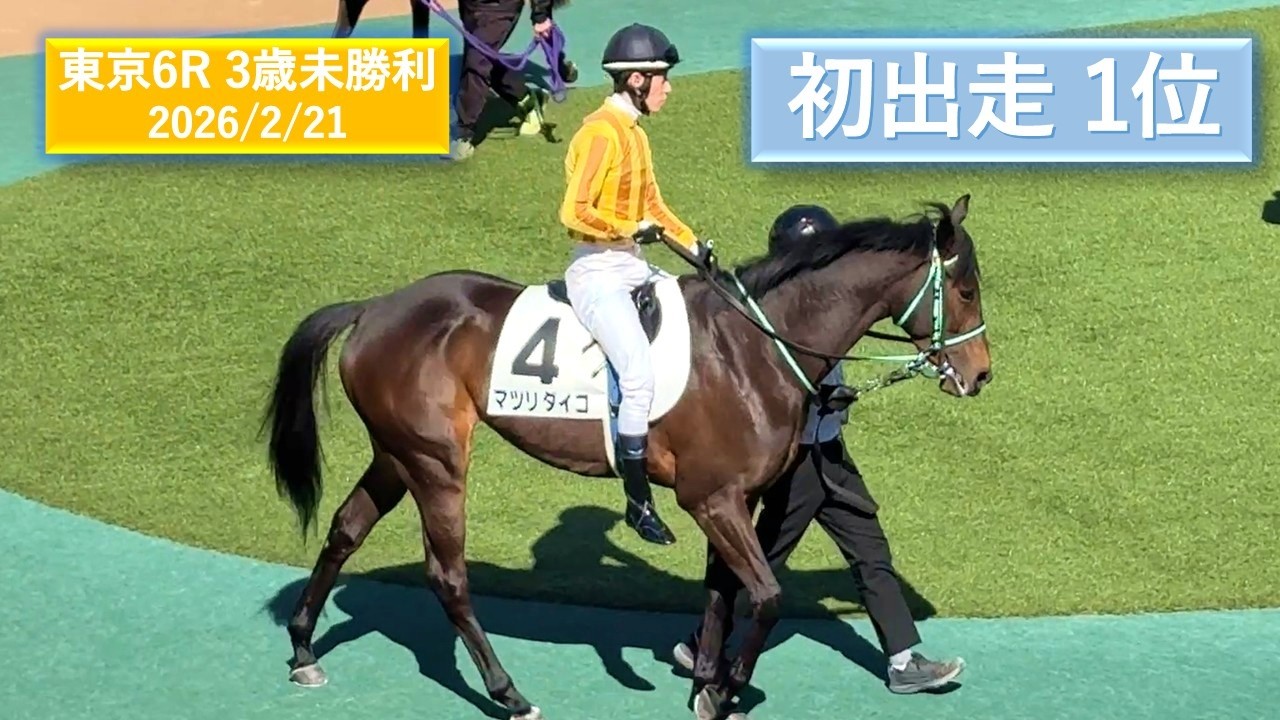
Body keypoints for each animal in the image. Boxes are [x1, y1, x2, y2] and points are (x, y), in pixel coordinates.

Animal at [262, 194, 991, 720]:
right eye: (966, 291)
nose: (981, 375)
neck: (754, 347)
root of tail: (374, 308)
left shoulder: (733, 498)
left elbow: (723, 592)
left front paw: (705, 683)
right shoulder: (713, 499)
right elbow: (766, 596)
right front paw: (729, 688)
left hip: (397, 453)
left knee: (345, 530)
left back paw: (302, 648)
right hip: (437, 462)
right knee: (447, 576)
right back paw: (508, 692)